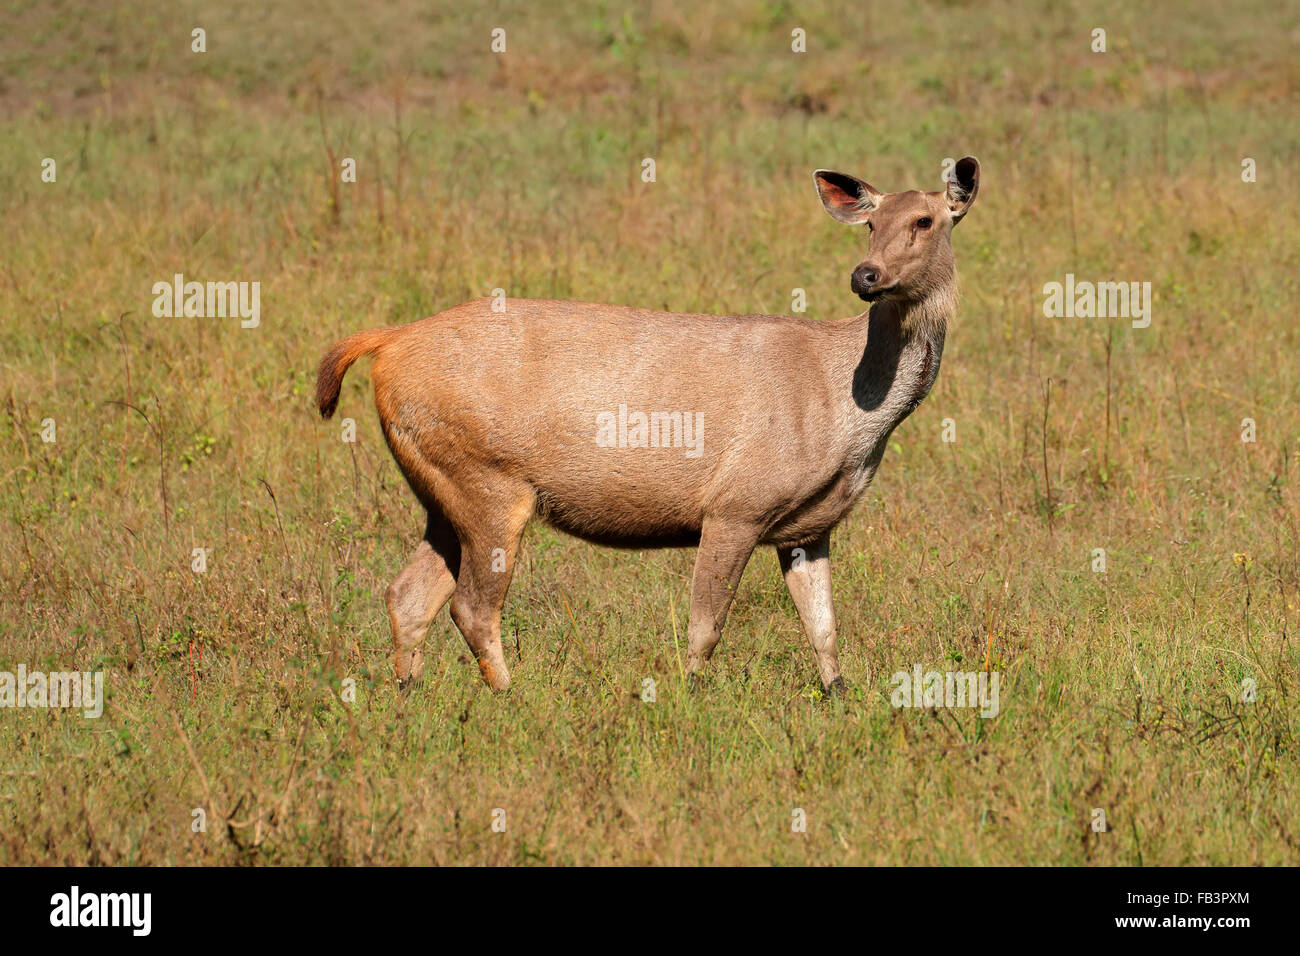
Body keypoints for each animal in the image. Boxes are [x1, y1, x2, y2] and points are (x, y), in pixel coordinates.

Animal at [319, 155, 977, 697]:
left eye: (924, 220)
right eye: (871, 223)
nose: (865, 275)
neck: (847, 415)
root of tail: (387, 344)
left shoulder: (809, 527)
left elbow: (824, 628)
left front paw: (839, 695)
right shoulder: (737, 503)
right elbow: (706, 625)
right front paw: (690, 696)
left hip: (443, 488)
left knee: (408, 595)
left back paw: (410, 692)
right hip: (488, 480)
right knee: (472, 607)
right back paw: (511, 694)